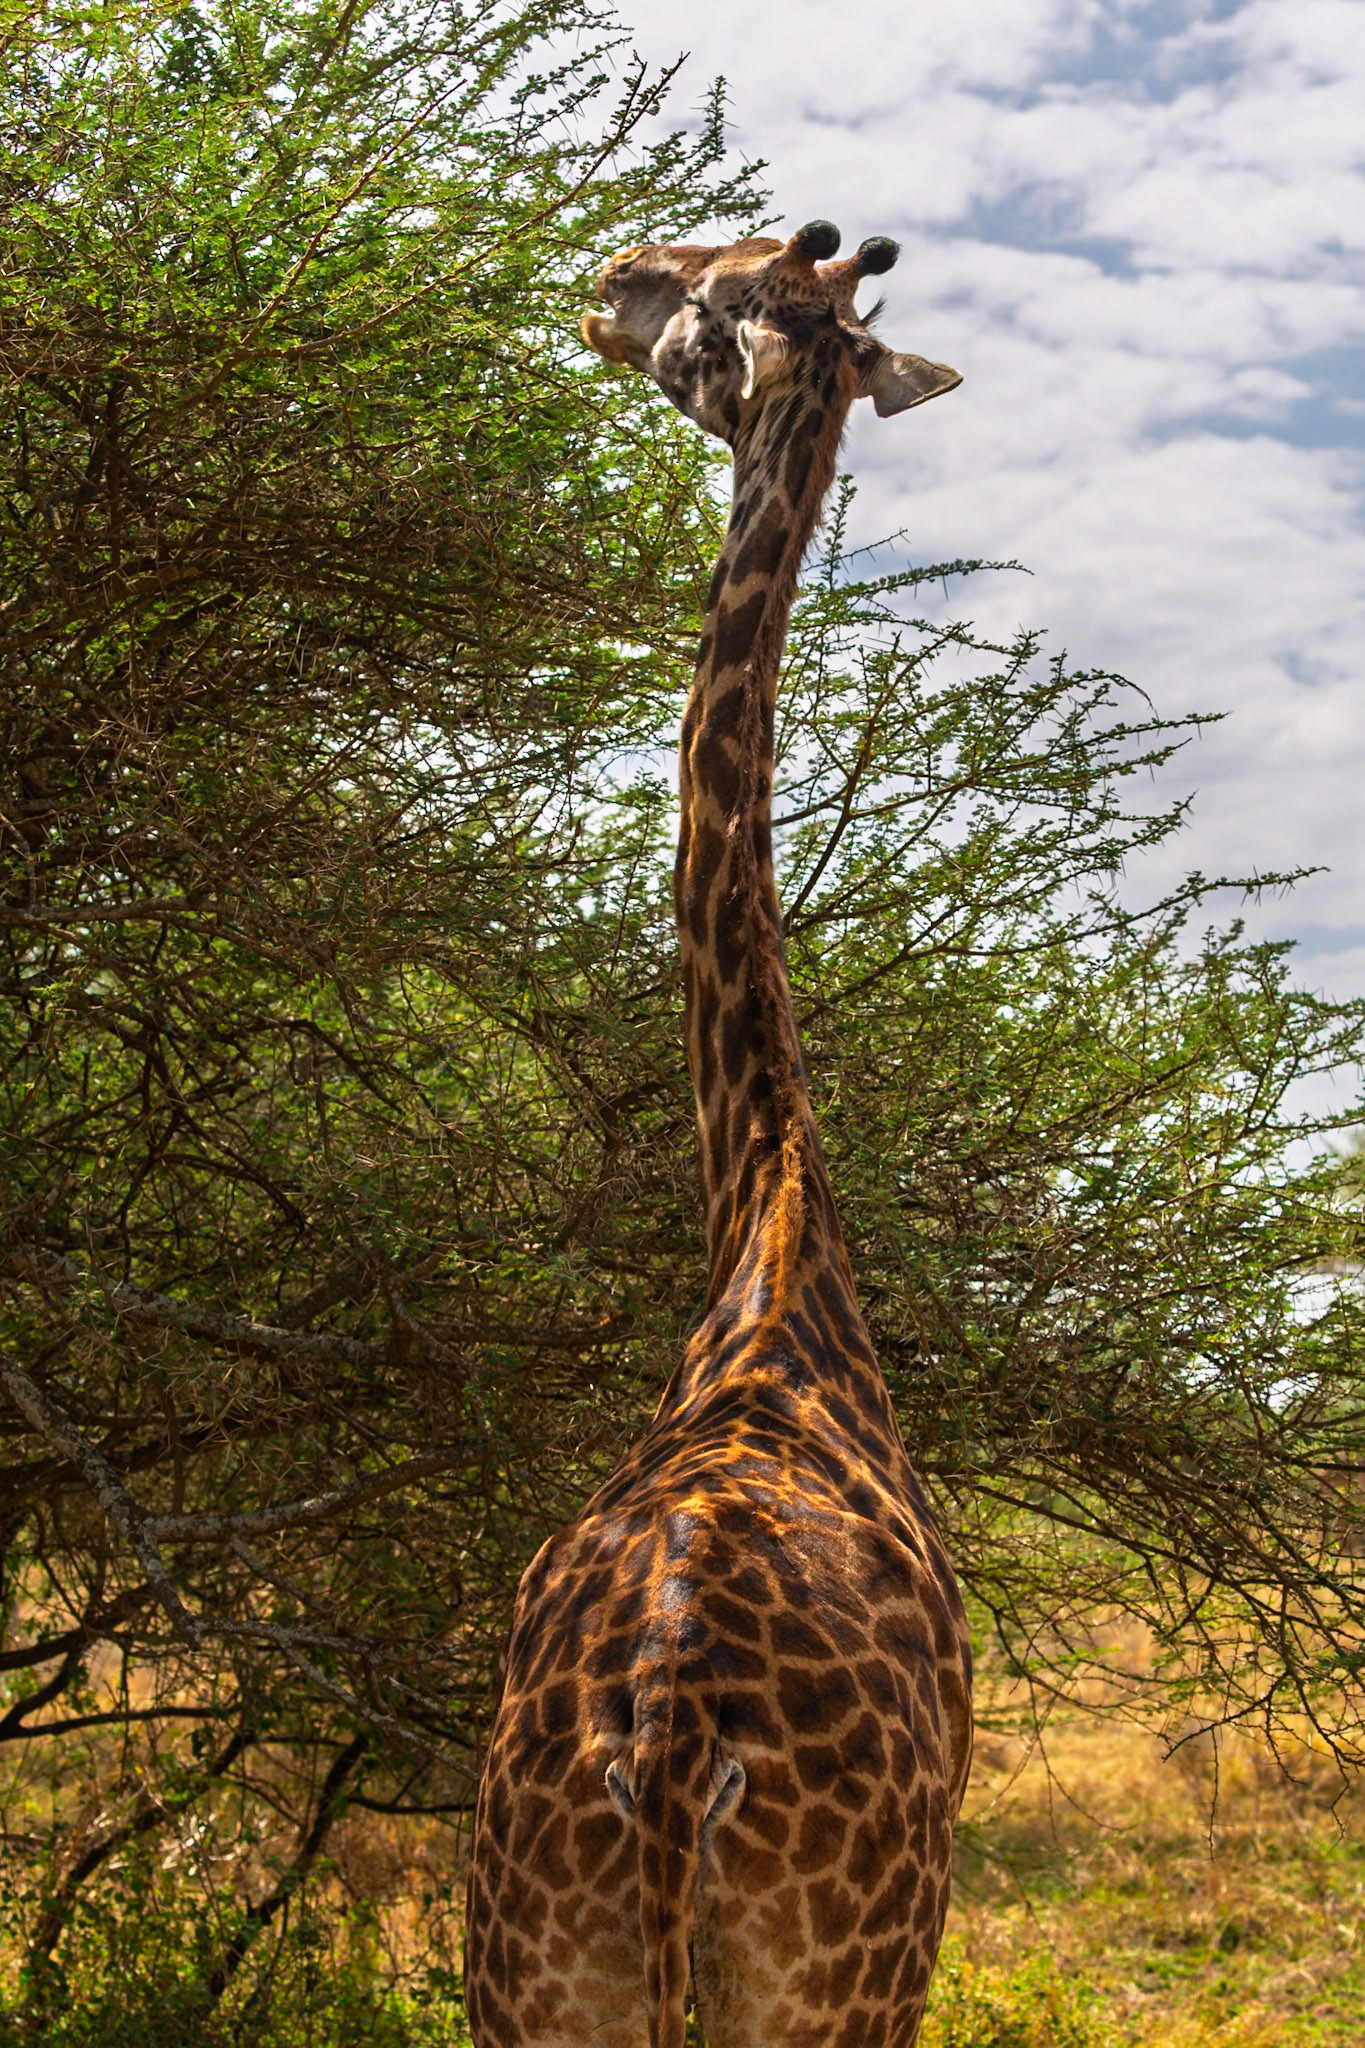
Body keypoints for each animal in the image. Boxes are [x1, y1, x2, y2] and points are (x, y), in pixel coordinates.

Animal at [465, 220, 971, 2048]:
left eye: (717, 291)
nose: (611, 272)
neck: (771, 1213)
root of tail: (674, 1746)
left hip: (600, 1982)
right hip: (746, 1986)